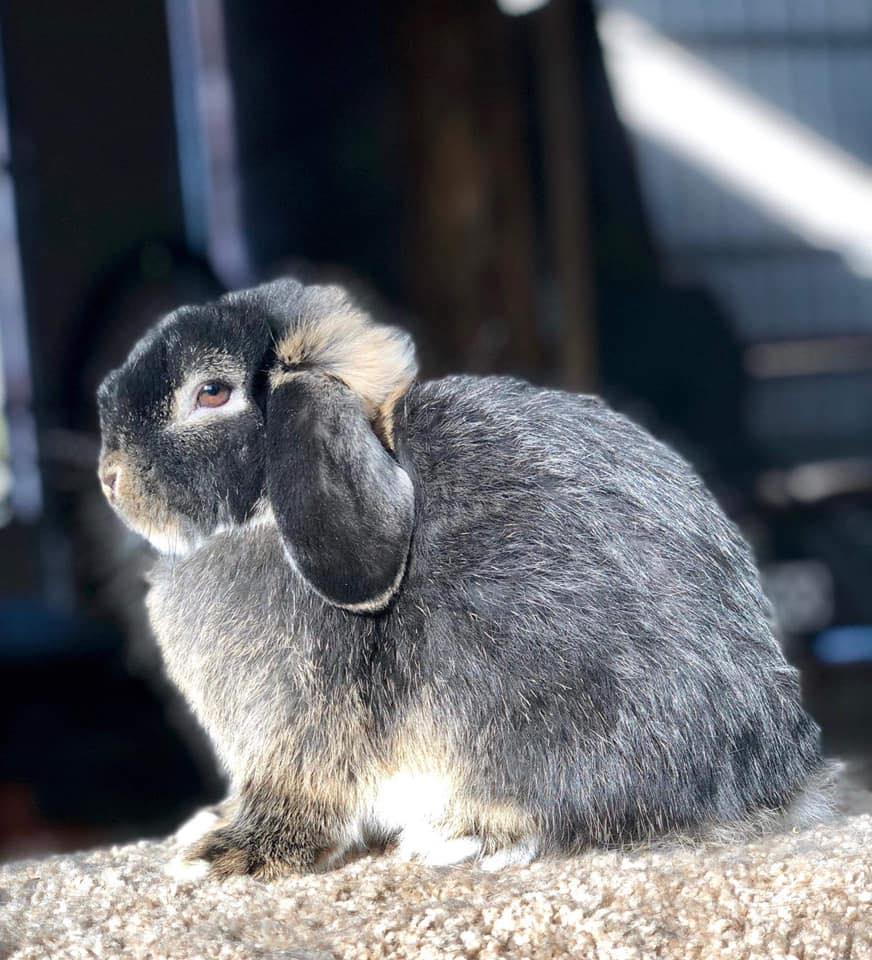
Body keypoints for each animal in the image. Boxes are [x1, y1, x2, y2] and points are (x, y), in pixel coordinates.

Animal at [96, 277, 831, 879]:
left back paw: (461, 835)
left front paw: (225, 855)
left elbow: (298, 796)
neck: (265, 519)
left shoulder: (300, 727)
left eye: (211, 392)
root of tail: (780, 770)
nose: (110, 477)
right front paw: (210, 824)